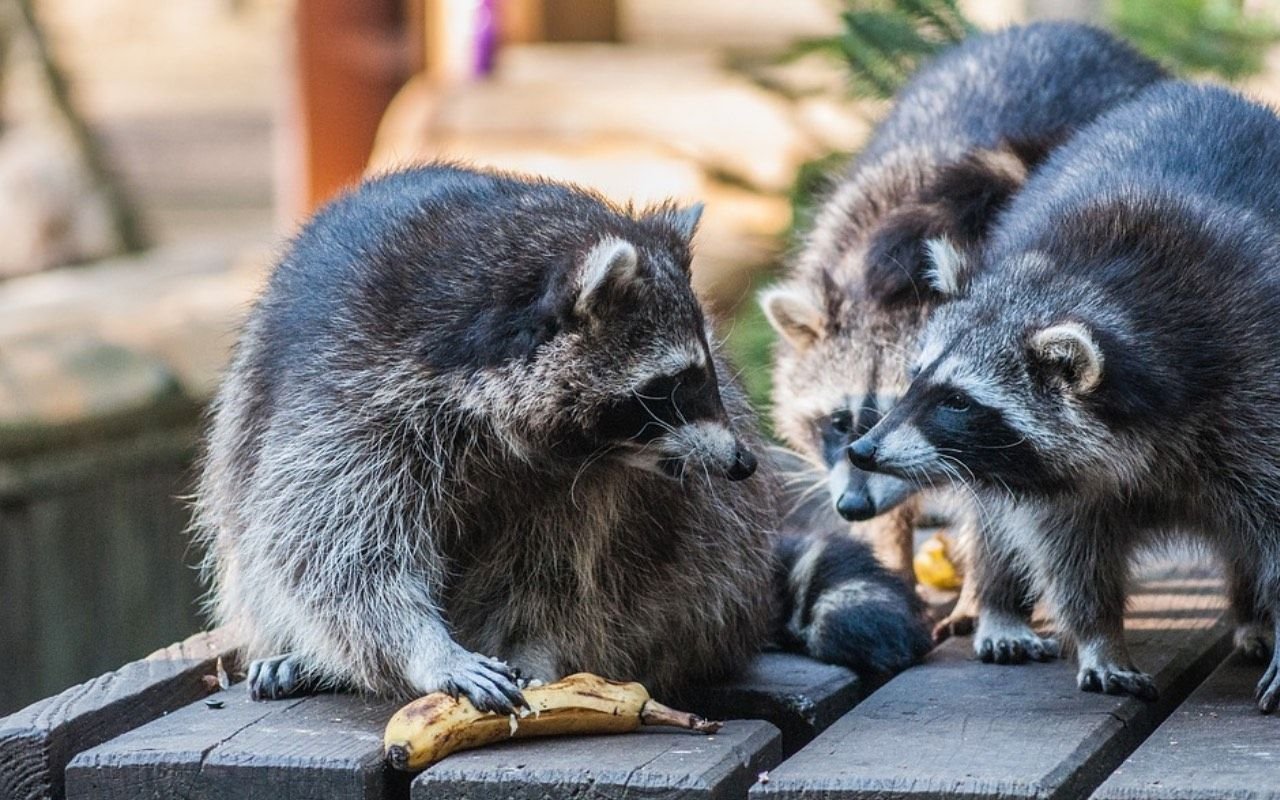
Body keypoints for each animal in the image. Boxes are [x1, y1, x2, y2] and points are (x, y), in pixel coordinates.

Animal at [192, 160, 921, 706]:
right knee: (255, 539)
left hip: (709, 561)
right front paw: (424, 649)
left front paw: (536, 648)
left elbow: (560, 572)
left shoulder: (584, 486)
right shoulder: (347, 398)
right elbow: (334, 552)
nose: (744, 463)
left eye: (708, 369)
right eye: (674, 385)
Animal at [762, 20, 1167, 637]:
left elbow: (996, 506)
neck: (893, 281)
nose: (852, 507)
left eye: (927, 403)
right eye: (835, 421)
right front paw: (891, 558)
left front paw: (981, 592)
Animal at [849, 79, 1280, 706]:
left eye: (958, 400)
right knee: (997, 521)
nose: (863, 450)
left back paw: (1253, 614)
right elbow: (1069, 546)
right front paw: (1100, 634)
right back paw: (1000, 602)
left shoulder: (1255, 382)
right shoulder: (1057, 478)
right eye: (915, 377)